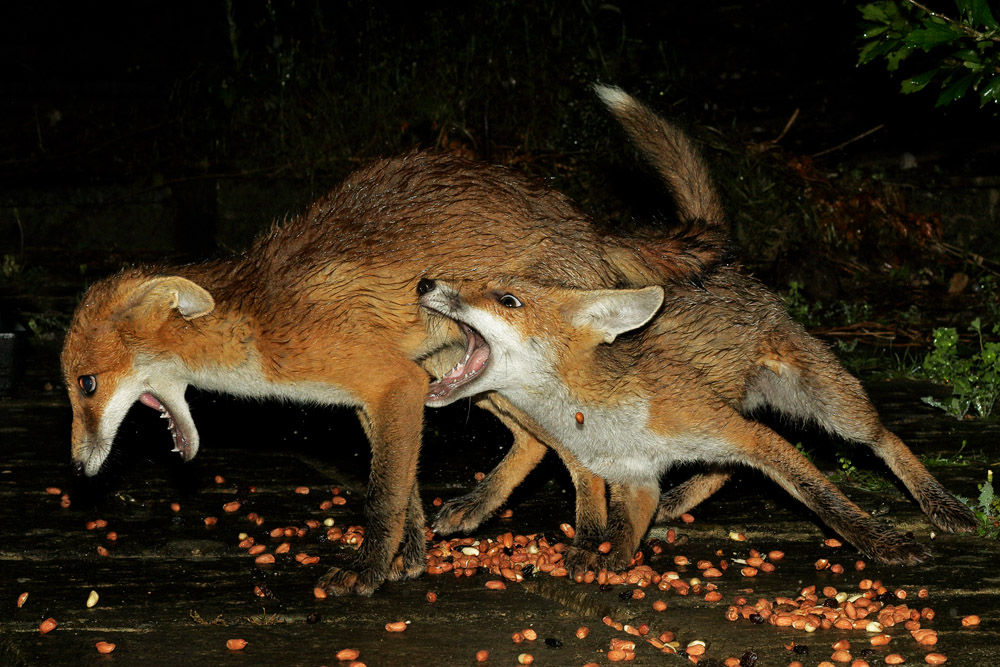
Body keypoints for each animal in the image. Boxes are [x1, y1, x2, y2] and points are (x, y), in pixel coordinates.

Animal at [59, 87, 729, 595]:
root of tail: (586, 225)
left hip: (494, 373)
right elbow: (404, 492)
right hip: (466, 375)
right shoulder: (381, 397)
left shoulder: (393, 383)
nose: (79, 468)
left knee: (576, 455)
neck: (260, 324)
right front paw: (408, 557)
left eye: (86, 385)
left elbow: (382, 498)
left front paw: (367, 571)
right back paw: (482, 506)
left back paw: (591, 539)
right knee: (538, 443)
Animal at [420, 91, 978, 570]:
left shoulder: (745, 434)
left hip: (825, 405)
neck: (593, 420)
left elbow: (826, 500)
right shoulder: (634, 477)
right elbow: (619, 526)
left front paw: (883, 543)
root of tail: (726, 269)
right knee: (725, 469)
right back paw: (680, 499)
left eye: (507, 300)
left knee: (884, 436)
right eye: (473, 282)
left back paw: (941, 503)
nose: (426, 282)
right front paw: (597, 555)